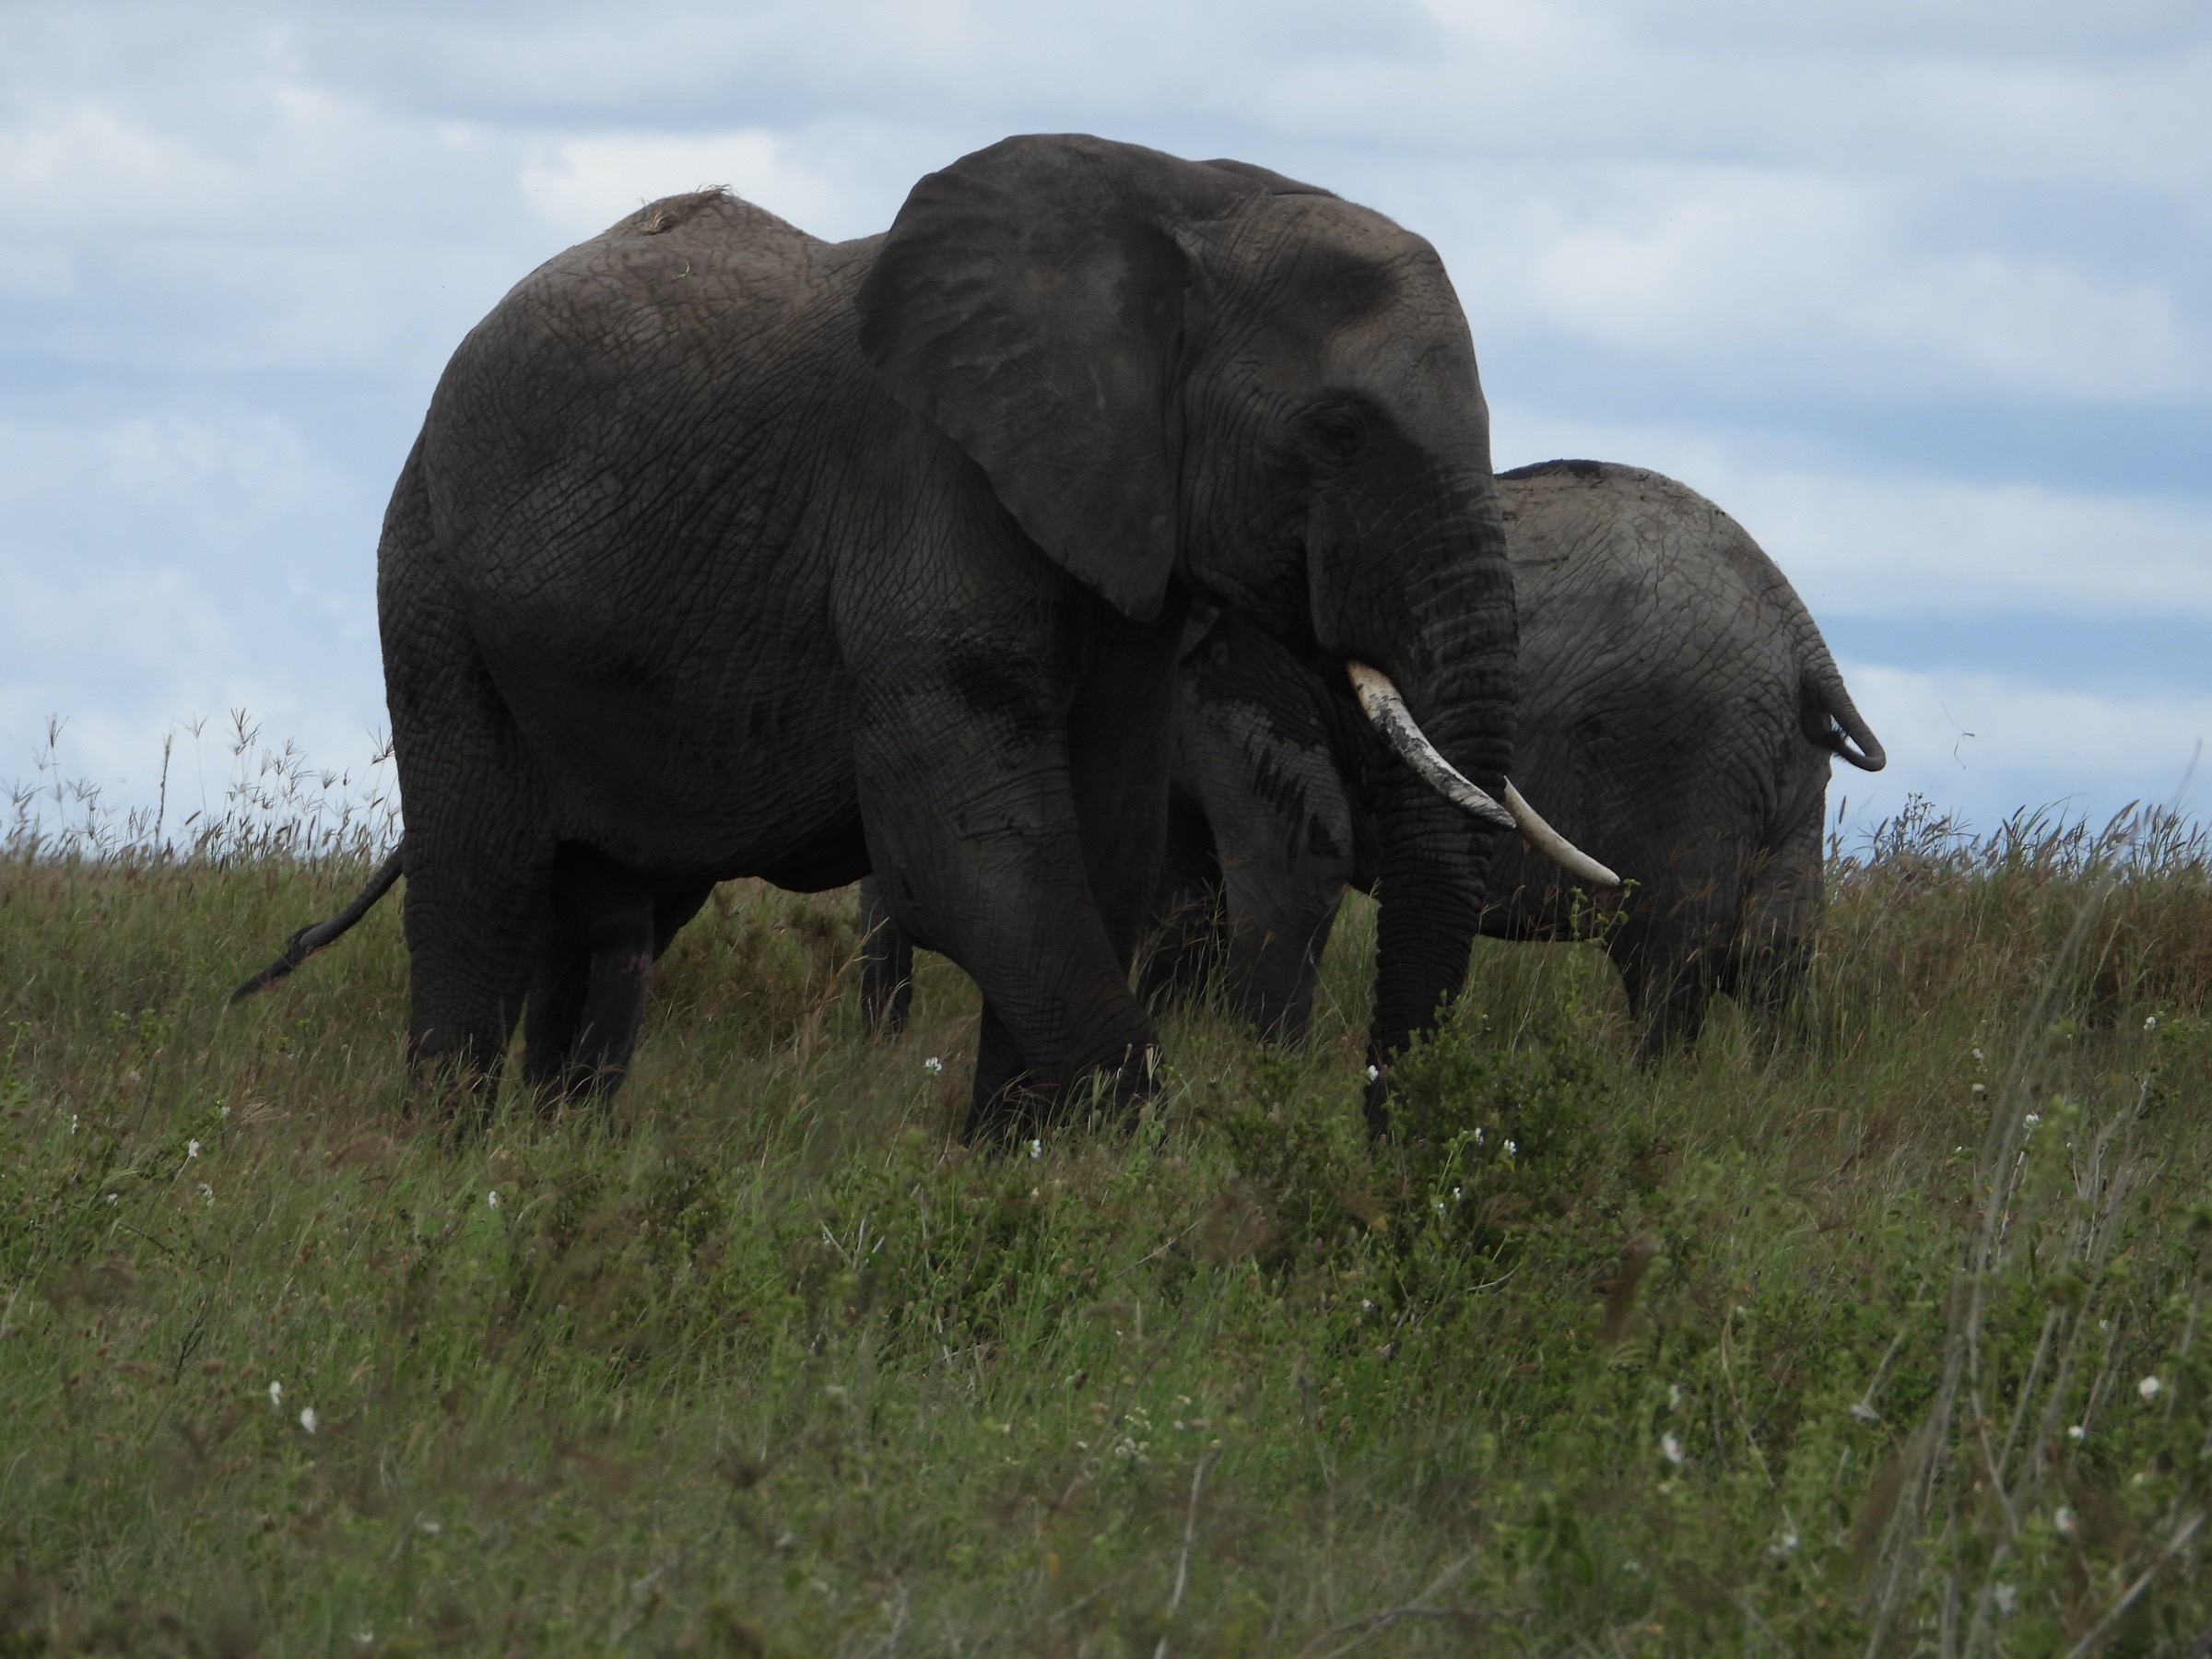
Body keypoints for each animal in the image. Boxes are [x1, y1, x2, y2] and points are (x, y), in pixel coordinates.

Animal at [232, 133, 1605, 1139]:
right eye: (1338, 432)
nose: (1385, 1135)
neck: (1184, 204)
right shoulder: (925, 489)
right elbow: (975, 847)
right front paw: (1133, 1175)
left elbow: (1097, 845)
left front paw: (1019, 1168)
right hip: (434, 585)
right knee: (483, 889)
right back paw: (450, 1163)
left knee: (612, 917)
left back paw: (551, 1151)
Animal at [862, 460, 1883, 1127]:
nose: (880, 1038)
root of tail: (1805, 641)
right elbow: (1182, 903)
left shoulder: (1252, 678)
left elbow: (1286, 880)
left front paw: (1257, 1082)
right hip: (1784, 772)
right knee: (1775, 958)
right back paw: (1780, 1097)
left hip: (1692, 751)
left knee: (1672, 955)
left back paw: (1653, 1098)